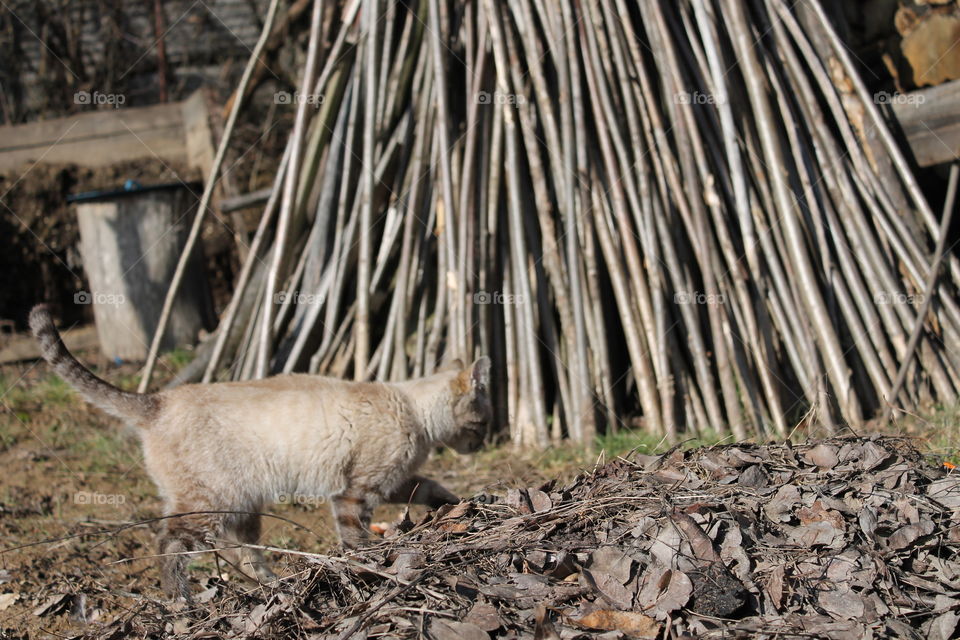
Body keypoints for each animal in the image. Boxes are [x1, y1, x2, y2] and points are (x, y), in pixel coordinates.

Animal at [29, 304, 492, 600]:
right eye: (483, 422)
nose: (485, 442)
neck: (412, 408)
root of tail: (158, 399)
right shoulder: (355, 493)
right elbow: (356, 539)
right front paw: (370, 565)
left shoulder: (393, 482)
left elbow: (433, 488)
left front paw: (463, 504)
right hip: (210, 502)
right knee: (168, 541)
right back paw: (182, 601)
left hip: (241, 506)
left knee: (240, 554)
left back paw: (272, 586)